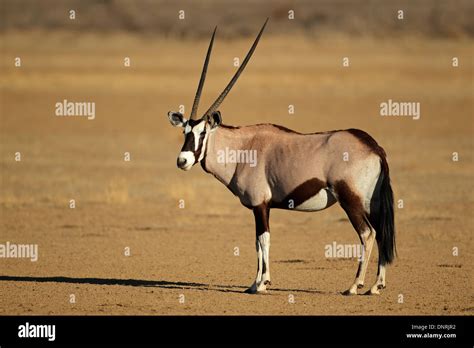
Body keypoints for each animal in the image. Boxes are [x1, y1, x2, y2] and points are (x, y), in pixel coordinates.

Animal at [168, 19, 396, 294]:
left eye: (202, 133)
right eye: (185, 132)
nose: (182, 160)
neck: (242, 149)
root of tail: (374, 147)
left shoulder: (260, 204)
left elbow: (263, 240)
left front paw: (261, 284)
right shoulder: (261, 207)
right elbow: (258, 242)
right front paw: (255, 283)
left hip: (351, 200)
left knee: (367, 233)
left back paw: (354, 286)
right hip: (371, 202)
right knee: (381, 232)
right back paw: (376, 286)